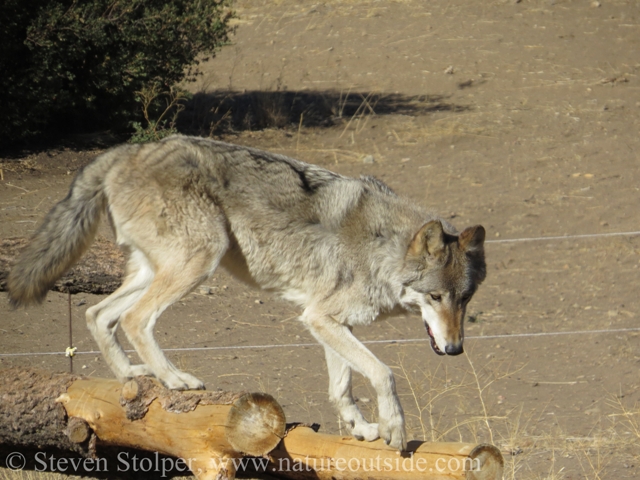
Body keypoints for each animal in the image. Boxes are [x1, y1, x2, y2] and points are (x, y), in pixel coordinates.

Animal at [7, 135, 484, 450]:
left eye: (464, 300)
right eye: (436, 298)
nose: (456, 349)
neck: (382, 246)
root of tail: (126, 150)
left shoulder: (328, 321)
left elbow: (343, 386)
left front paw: (361, 429)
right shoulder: (321, 318)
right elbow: (384, 373)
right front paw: (394, 429)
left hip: (156, 269)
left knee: (98, 314)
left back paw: (132, 378)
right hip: (200, 260)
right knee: (133, 318)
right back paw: (174, 380)